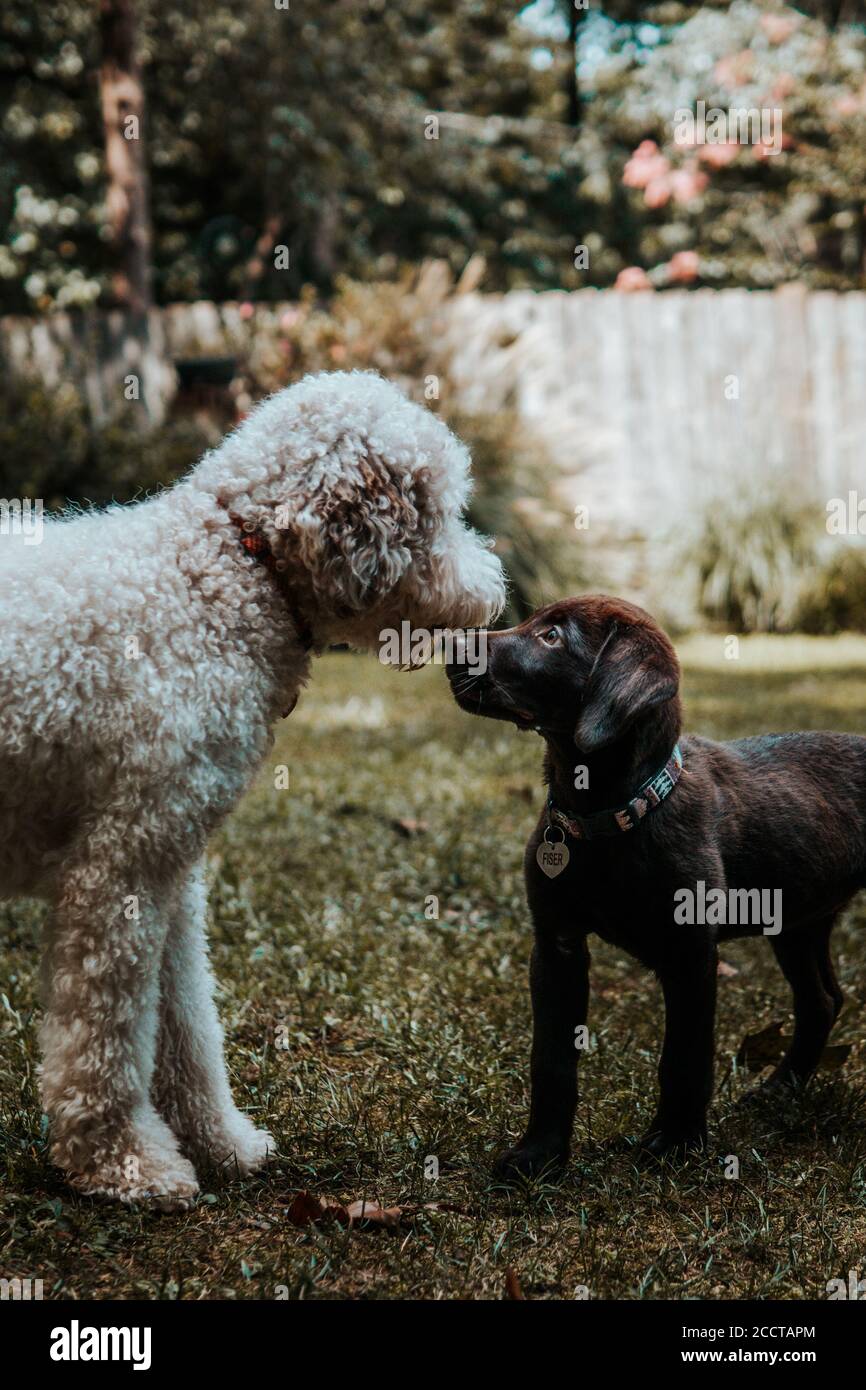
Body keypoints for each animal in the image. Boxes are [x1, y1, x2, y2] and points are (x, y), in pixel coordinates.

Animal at [0, 369, 505, 1206]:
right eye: (437, 509)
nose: (495, 594)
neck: (228, 572)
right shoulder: (117, 871)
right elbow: (107, 1031)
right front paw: (123, 1161)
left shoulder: (171, 868)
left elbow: (185, 1023)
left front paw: (220, 1142)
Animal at [447, 592, 866, 1178]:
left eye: (552, 636)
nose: (447, 646)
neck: (607, 814)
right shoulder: (555, 945)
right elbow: (550, 1059)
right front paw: (540, 1153)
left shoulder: (691, 955)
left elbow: (683, 1057)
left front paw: (675, 1142)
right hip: (798, 921)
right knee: (822, 1000)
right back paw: (778, 1090)